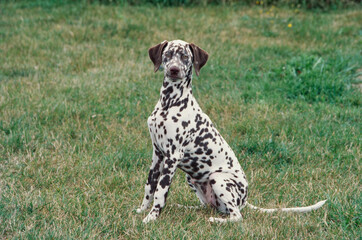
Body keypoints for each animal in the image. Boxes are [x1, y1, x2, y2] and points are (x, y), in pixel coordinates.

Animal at [136, 39, 328, 223]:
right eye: (168, 54)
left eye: (185, 57)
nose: (174, 70)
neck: (170, 103)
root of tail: (244, 201)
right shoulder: (157, 155)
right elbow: (150, 186)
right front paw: (142, 210)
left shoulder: (172, 157)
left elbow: (160, 192)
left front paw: (151, 217)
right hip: (192, 179)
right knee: (209, 207)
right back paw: (186, 208)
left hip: (218, 178)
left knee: (236, 216)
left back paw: (216, 221)